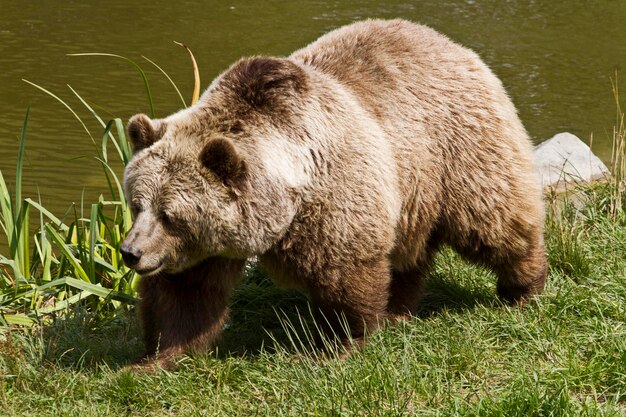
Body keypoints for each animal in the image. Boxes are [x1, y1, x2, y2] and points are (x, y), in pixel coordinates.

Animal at [119, 18, 544, 364]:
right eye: (137, 205)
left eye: (171, 215)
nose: (130, 252)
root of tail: (452, 44)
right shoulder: (206, 248)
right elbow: (185, 296)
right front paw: (155, 359)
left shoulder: (334, 196)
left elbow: (346, 275)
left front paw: (341, 343)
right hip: (412, 190)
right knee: (409, 252)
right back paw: (399, 309)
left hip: (456, 150)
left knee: (494, 222)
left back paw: (523, 287)